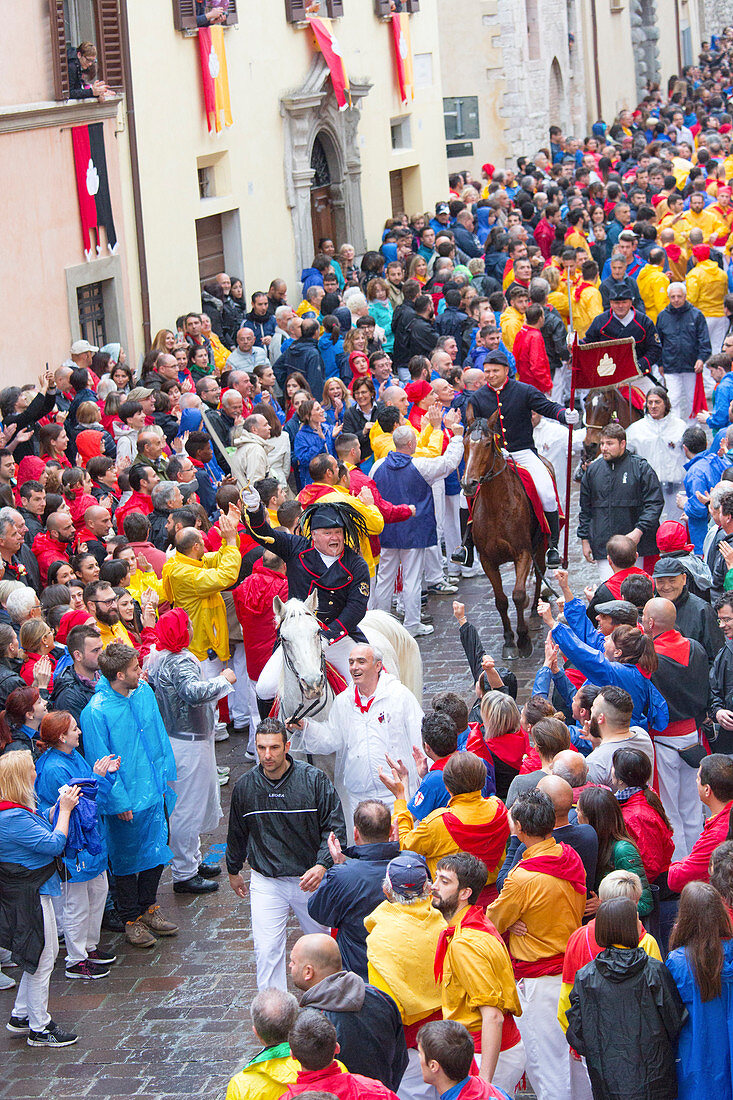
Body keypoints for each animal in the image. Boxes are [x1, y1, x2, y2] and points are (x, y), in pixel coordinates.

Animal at [460, 411, 545, 651]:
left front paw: (523, 639)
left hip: (542, 546)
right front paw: (508, 639)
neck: (496, 507)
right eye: (464, 443)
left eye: (488, 444)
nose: (468, 484)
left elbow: (518, 595)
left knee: (540, 573)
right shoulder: (487, 559)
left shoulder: (523, 553)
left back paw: (534, 611)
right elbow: (501, 600)